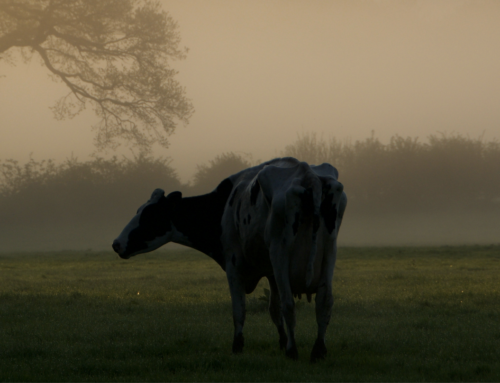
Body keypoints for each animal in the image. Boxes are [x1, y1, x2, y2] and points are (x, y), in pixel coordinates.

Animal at [111, 158, 346, 362]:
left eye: (149, 216)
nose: (116, 243)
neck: (223, 206)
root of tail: (307, 174)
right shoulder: (271, 271)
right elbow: (274, 309)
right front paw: (281, 341)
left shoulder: (235, 265)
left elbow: (239, 309)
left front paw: (238, 346)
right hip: (328, 251)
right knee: (324, 300)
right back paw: (318, 350)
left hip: (280, 250)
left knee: (290, 303)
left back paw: (293, 351)